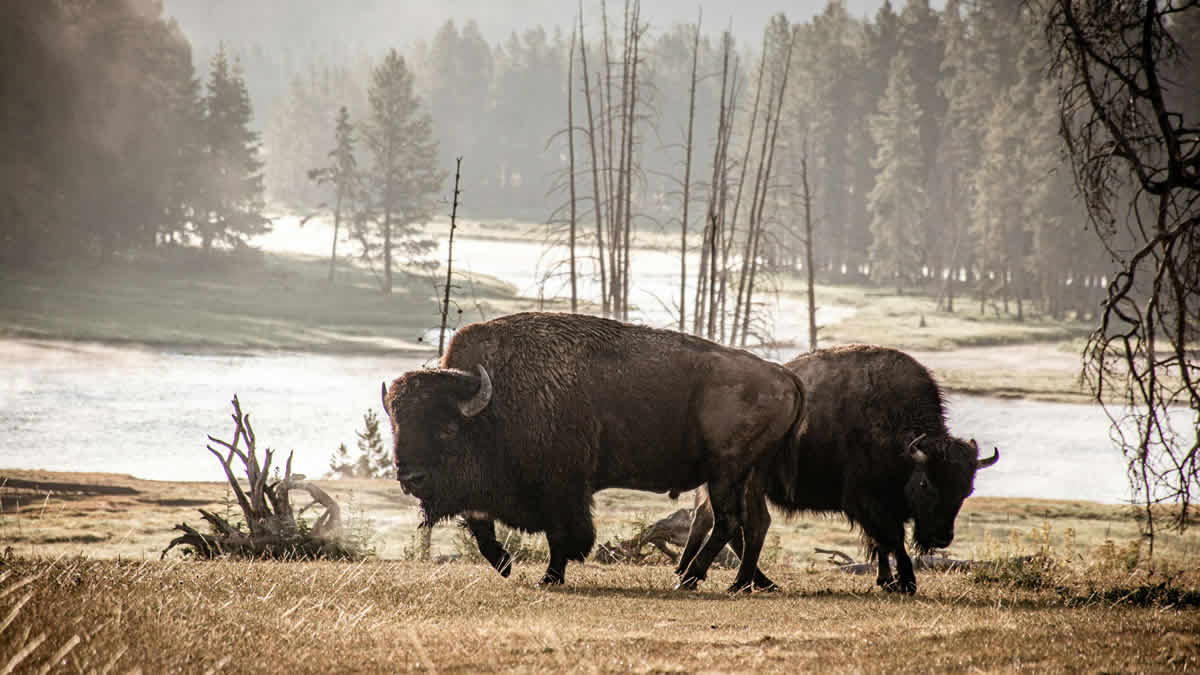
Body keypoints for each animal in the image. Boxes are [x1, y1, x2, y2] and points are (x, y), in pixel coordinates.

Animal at [384, 309, 806, 588]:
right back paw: (742, 582)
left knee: (729, 521)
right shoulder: (490, 493)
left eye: (447, 429)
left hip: (725, 473)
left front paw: (550, 577)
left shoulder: (563, 489)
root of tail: (784, 374)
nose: (411, 478)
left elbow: (563, 536)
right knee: (752, 523)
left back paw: (692, 579)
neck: (493, 403)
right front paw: (505, 565)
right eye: (396, 426)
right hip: (747, 476)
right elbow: (480, 526)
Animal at [681, 343, 998, 590]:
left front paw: (887, 581)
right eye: (926, 483)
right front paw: (905, 582)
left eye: (967, 490)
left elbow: (881, 543)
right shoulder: (867, 502)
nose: (941, 538)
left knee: (711, 519)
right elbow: (891, 539)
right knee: (733, 524)